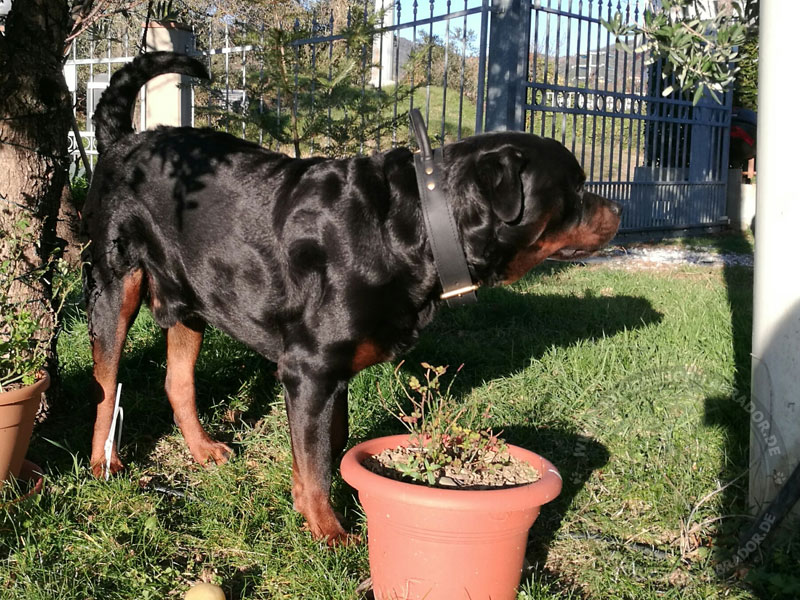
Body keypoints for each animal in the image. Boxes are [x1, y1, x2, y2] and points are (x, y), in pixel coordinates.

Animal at [81, 52, 620, 544]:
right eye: (575, 188)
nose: (615, 209)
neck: (420, 225)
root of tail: (122, 140)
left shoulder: (331, 376)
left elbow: (329, 446)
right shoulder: (310, 369)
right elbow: (317, 461)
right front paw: (329, 533)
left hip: (189, 297)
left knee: (177, 382)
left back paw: (201, 449)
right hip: (113, 286)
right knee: (105, 386)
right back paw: (103, 463)